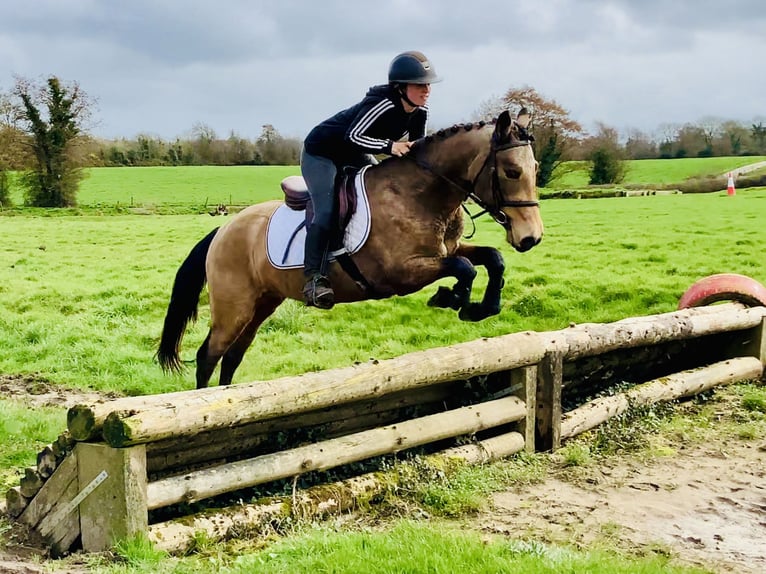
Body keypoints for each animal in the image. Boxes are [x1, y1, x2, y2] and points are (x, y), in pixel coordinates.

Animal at [157, 110, 543, 389]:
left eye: (536, 168)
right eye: (511, 171)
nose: (531, 238)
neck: (421, 194)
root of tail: (223, 230)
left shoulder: (449, 248)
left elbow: (491, 259)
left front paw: (481, 307)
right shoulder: (401, 273)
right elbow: (465, 267)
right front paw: (450, 298)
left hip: (262, 303)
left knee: (233, 355)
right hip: (233, 306)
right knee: (209, 354)